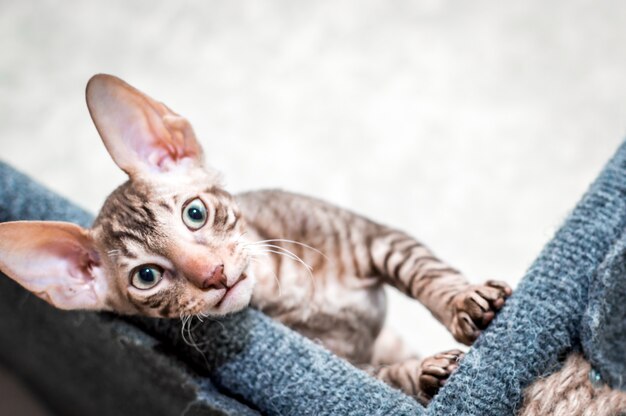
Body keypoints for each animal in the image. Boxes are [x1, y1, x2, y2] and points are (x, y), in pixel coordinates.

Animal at [0, 74, 510, 404]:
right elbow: (380, 378)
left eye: (195, 213)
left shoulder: (374, 237)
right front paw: (424, 374)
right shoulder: (333, 359)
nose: (215, 275)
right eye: (146, 276)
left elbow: (427, 272)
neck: (286, 284)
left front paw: (464, 302)